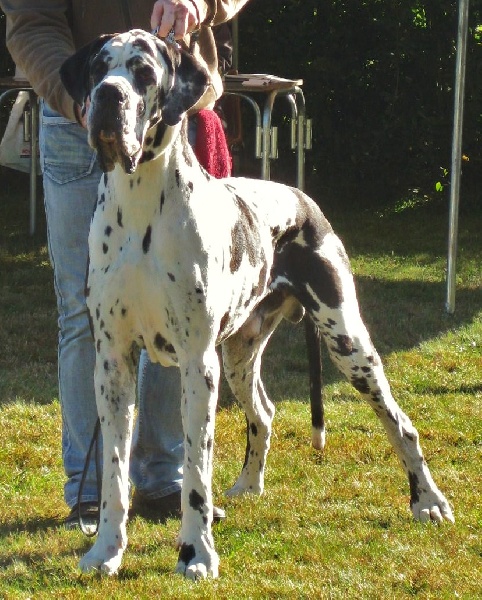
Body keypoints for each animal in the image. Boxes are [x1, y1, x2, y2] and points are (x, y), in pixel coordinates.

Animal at [59, 30, 452, 580]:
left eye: (143, 71)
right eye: (98, 68)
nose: (108, 97)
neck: (139, 207)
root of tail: (303, 199)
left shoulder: (196, 365)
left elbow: (195, 473)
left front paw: (196, 554)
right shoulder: (112, 363)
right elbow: (114, 472)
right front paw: (105, 551)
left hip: (347, 343)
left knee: (401, 424)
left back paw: (428, 501)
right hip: (239, 357)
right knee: (263, 414)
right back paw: (248, 486)